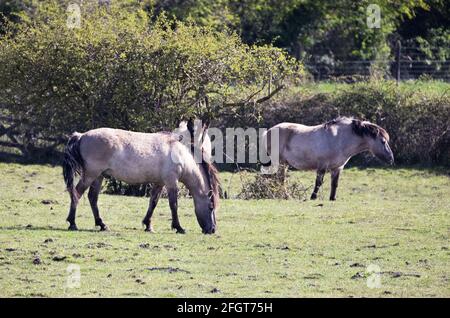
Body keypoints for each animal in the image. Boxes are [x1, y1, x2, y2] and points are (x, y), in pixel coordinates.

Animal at [62, 126, 220, 234]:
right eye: (211, 207)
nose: (212, 229)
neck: (180, 154)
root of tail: (82, 136)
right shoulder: (171, 182)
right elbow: (173, 205)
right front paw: (178, 227)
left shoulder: (159, 183)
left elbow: (153, 203)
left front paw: (148, 225)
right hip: (91, 175)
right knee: (77, 193)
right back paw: (72, 223)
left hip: (98, 176)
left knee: (92, 198)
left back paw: (102, 225)